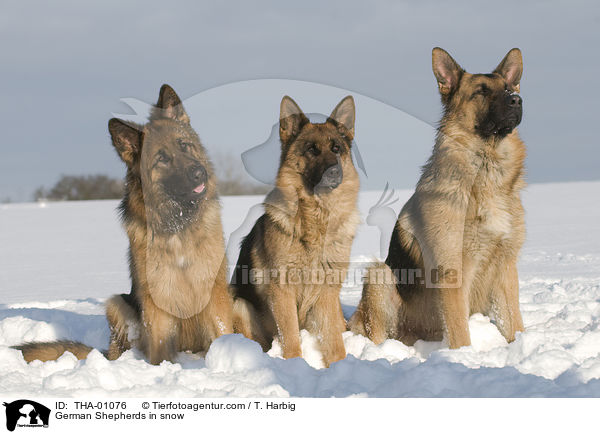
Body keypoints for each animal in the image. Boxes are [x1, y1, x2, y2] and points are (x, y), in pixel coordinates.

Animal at [14, 84, 234, 362]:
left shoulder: (215, 291)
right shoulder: (154, 300)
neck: (177, 224)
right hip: (116, 304)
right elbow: (160, 346)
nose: (198, 173)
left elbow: (223, 330)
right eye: (162, 158)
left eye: (184, 145)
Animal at [232, 95, 358, 366]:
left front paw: (340, 366)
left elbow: (334, 338)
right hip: (239, 304)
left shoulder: (328, 292)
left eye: (336, 149)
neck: (315, 218)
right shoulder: (283, 291)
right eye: (312, 149)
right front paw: (294, 365)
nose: (335, 172)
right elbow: (290, 335)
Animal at [350, 48, 528, 350]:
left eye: (508, 88)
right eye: (481, 91)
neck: (485, 171)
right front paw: (464, 357)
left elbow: (514, 322)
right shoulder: (453, 272)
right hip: (379, 276)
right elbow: (459, 332)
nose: (517, 99)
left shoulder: (506, 268)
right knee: (376, 333)